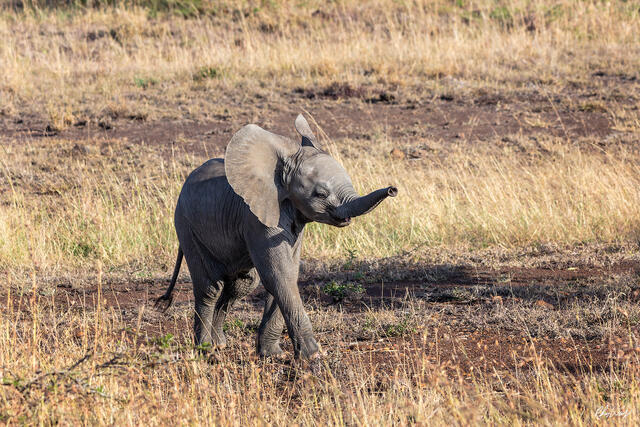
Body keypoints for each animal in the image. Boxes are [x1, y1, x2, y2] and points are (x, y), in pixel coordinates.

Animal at [156, 114, 397, 359]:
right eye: (320, 194)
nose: (392, 190)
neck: (281, 172)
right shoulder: (255, 218)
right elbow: (279, 273)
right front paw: (313, 356)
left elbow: (286, 273)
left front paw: (273, 355)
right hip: (187, 228)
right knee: (210, 288)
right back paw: (206, 351)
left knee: (242, 285)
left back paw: (220, 344)